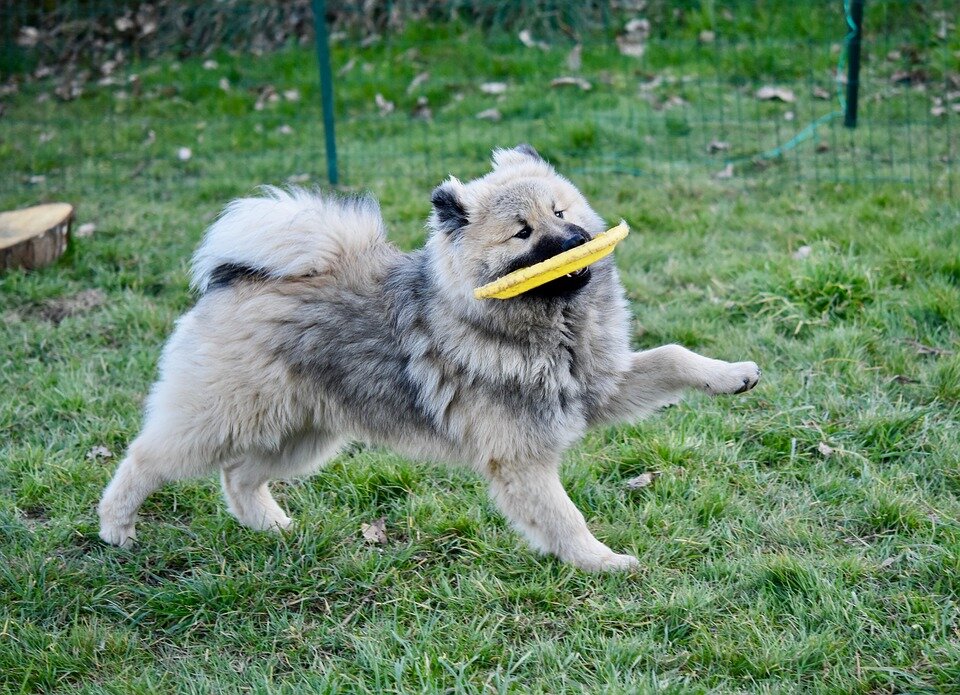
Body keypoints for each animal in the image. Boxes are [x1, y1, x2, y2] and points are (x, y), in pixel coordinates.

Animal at [97, 145, 756, 572]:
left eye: (561, 212)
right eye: (522, 233)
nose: (576, 244)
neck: (551, 329)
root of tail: (239, 278)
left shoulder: (600, 388)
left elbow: (673, 356)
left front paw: (732, 376)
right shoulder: (519, 456)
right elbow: (565, 517)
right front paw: (602, 563)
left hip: (305, 433)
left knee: (239, 477)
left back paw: (275, 528)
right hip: (223, 419)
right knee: (147, 458)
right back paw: (116, 527)